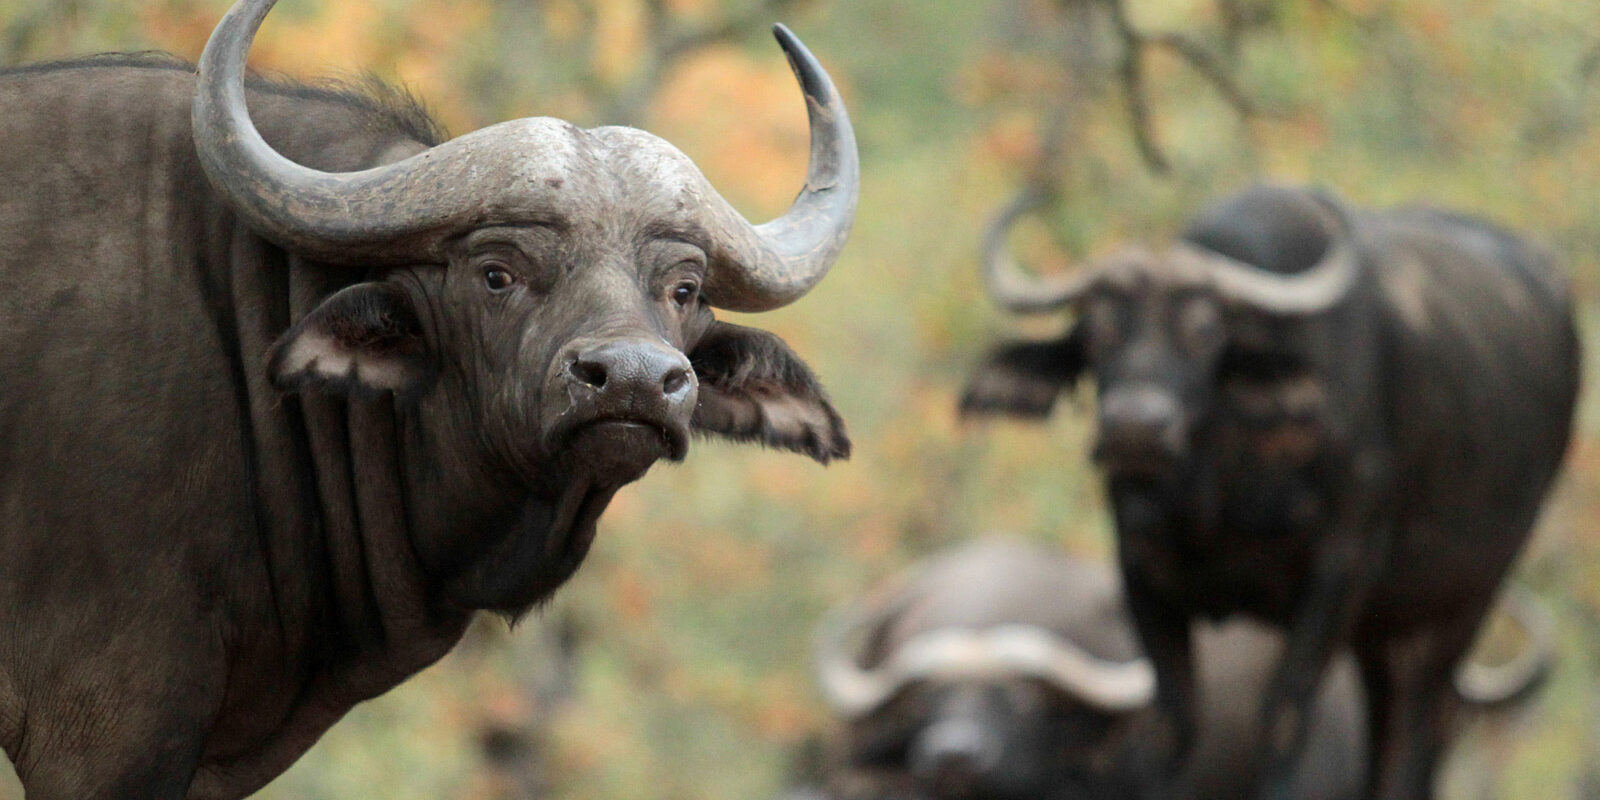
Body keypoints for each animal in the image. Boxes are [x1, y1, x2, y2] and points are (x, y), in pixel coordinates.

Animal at [961, 186, 1577, 799]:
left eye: (1206, 332)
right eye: (1094, 331)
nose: (1135, 429)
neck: (1219, 491)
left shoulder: (1339, 571)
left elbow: (1283, 714)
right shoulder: (1142, 573)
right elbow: (1173, 722)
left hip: (1468, 594)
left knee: (1424, 717)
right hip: (1384, 623)